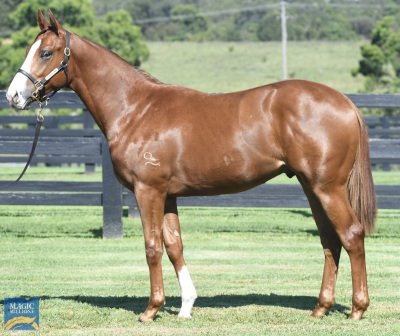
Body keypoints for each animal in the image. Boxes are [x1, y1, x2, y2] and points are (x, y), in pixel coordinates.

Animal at [6, 9, 376, 322]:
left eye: (46, 53)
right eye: (28, 48)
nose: (13, 96)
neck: (135, 108)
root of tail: (345, 103)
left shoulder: (148, 191)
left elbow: (152, 247)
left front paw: (151, 310)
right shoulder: (168, 195)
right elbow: (174, 246)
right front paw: (185, 307)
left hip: (327, 188)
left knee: (351, 235)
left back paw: (357, 310)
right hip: (311, 187)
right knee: (330, 241)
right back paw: (320, 308)